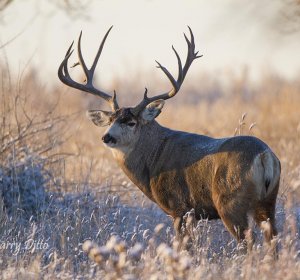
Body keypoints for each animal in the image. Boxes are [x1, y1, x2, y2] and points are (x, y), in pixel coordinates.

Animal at [58, 26, 282, 249]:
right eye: (111, 120)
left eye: (131, 122)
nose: (107, 137)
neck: (153, 159)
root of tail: (264, 155)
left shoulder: (179, 207)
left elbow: (183, 247)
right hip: (268, 202)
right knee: (273, 241)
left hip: (230, 201)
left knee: (249, 244)